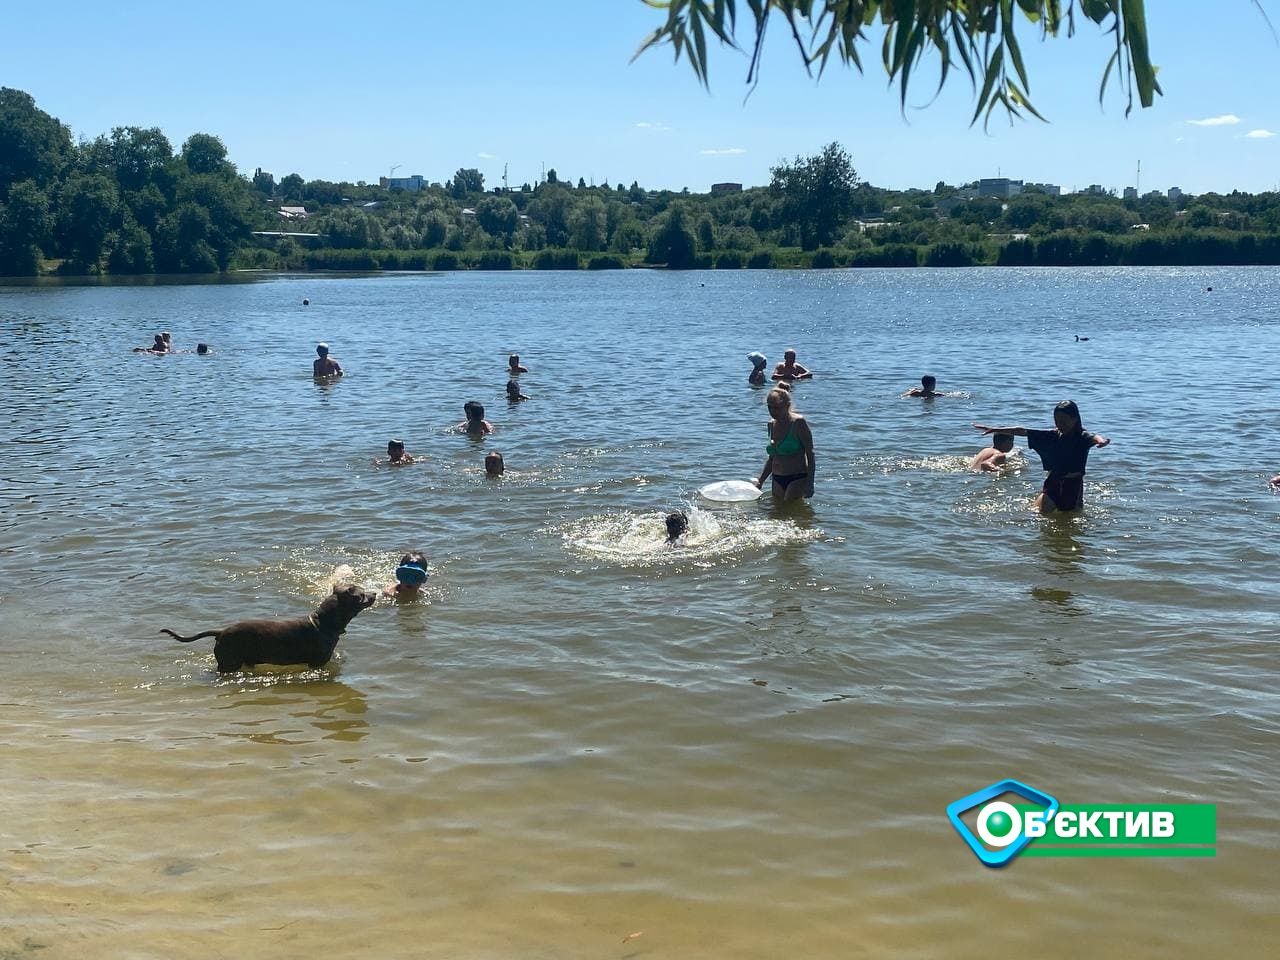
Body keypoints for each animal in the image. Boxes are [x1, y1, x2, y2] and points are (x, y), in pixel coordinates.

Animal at [162, 583, 376, 670]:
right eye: (361, 595)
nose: (374, 593)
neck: (323, 623)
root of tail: (221, 632)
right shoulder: (317, 663)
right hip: (229, 663)